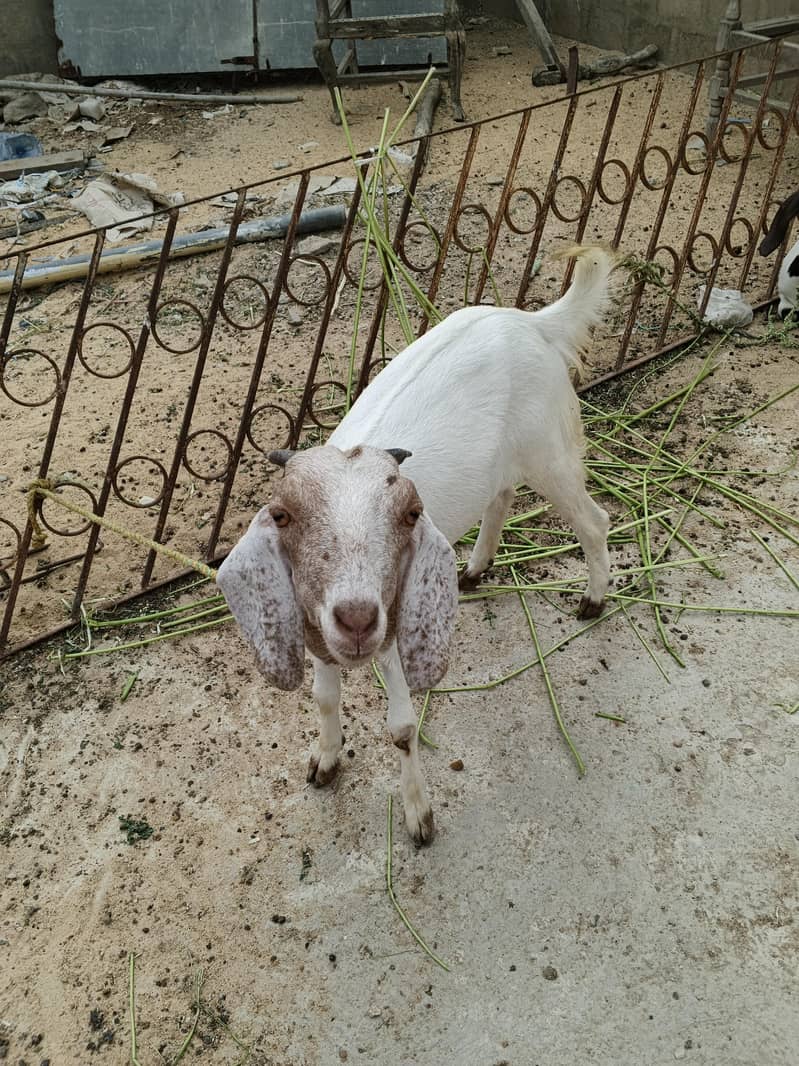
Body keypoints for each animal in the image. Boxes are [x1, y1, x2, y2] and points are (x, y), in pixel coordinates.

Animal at [218, 244, 615, 845]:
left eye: (405, 516)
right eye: (283, 516)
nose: (357, 616)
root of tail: (531, 323)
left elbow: (403, 729)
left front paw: (418, 817)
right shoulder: (315, 631)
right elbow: (324, 696)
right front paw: (324, 761)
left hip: (550, 451)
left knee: (594, 520)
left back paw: (593, 599)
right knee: (501, 494)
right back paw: (474, 569)